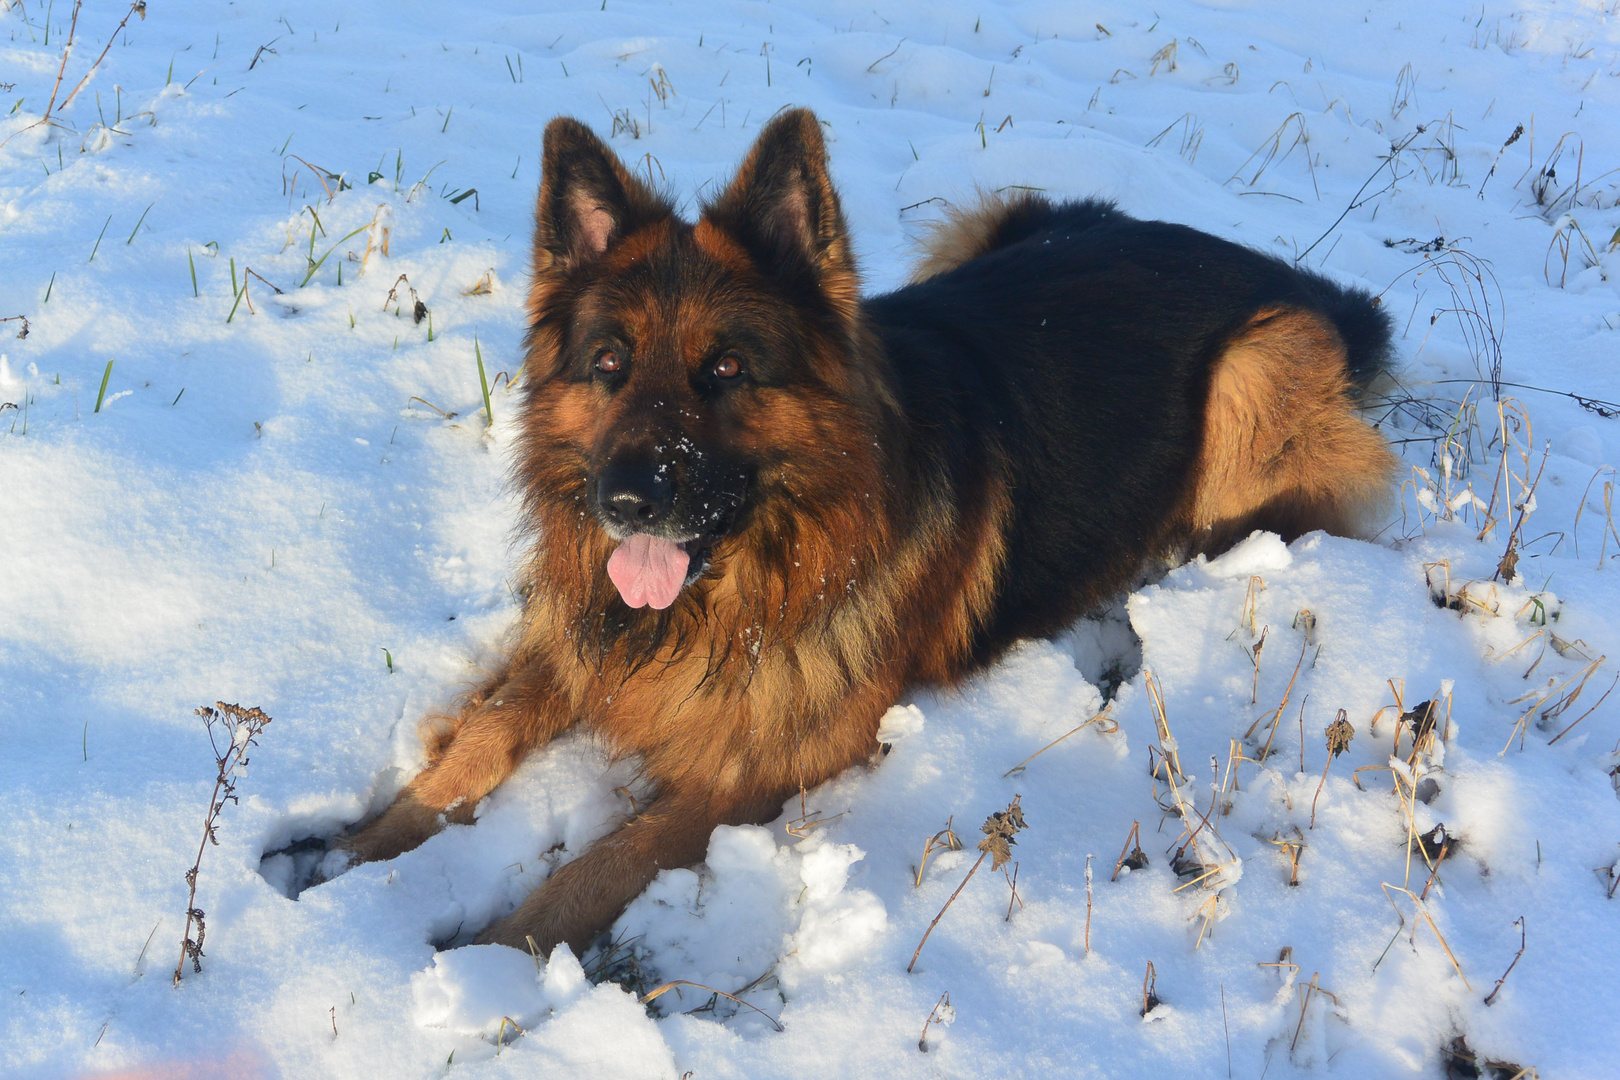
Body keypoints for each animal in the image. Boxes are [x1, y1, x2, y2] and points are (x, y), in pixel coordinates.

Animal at [335, 107, 1399, 952]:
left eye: (726, 370)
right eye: (607, 363)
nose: (626, 502)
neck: (747, 580)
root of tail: (1304, 283)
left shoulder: (755, 768)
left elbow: (599, 866)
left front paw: (486, 960)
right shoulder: (589, 639)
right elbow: (482, 735)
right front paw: (351, 859)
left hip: (1254, 367)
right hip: (996, 217)